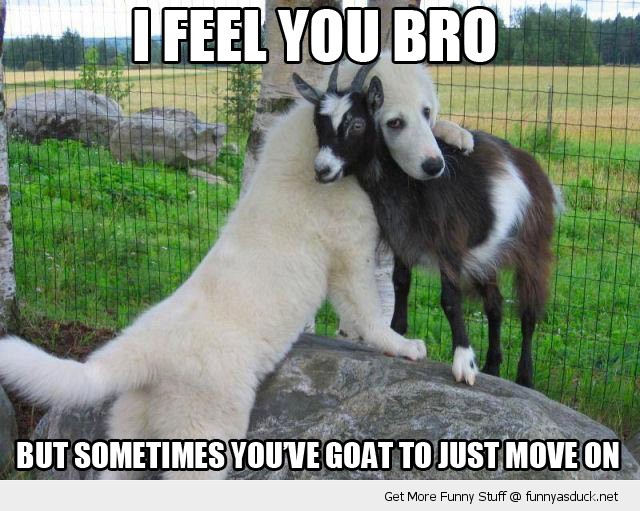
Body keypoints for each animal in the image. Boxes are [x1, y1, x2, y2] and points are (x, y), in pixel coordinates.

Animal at [295, 61, 561, 388]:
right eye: (318, 122)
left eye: (357, 123)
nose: (323, 170)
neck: (405, 183)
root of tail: (534, 169)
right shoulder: (402, 240)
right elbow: (400, 284)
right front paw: (399, 336)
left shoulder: (449, 246)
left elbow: (450, 300)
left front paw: (464, 363)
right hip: (487, 255)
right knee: (495, 305)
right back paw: (493, 367)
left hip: (532, 247)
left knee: (528, 313)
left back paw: (524, 377)